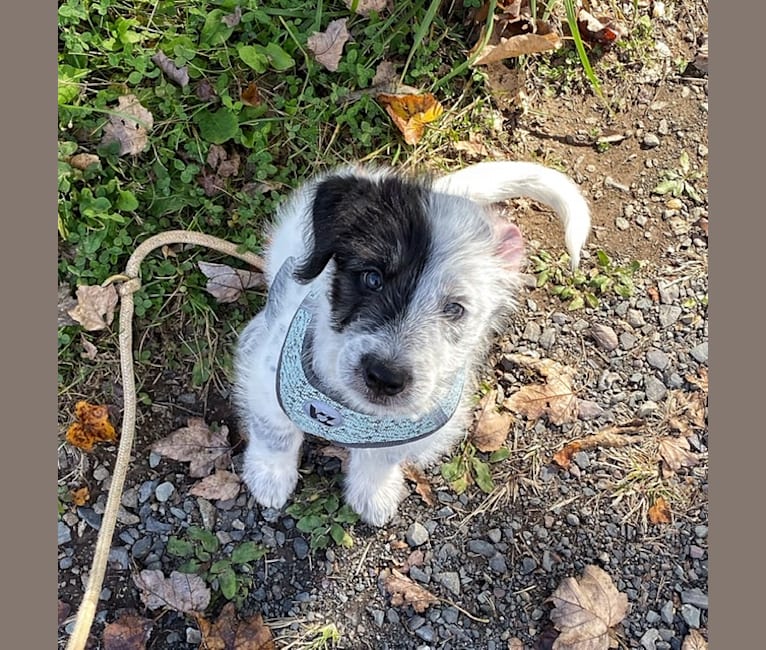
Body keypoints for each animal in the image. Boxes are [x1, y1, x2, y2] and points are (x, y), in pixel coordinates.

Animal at [234, 159, 592, 524]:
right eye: (372, 278)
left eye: (454, 309)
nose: (383, 377)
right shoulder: (266, 376)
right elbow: (275, 432)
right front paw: (269, 477)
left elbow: (381, 459)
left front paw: (374, 494)